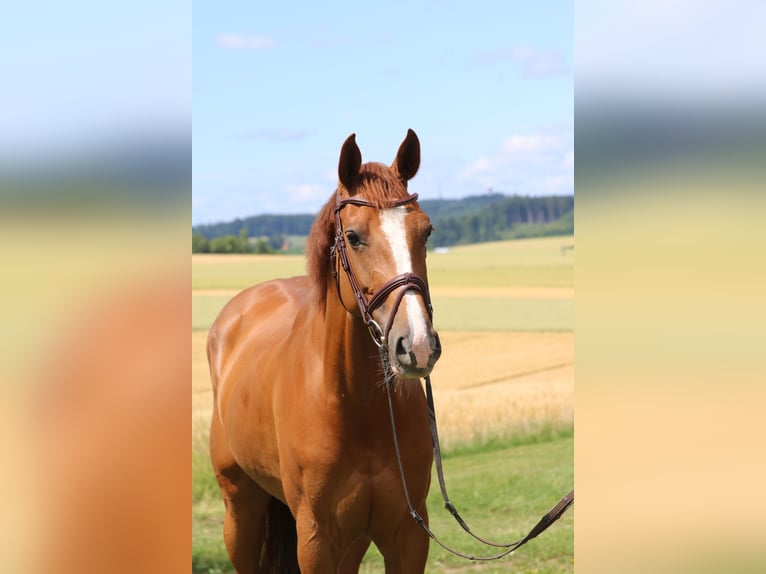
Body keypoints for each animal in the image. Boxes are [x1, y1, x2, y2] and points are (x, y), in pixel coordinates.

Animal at [208, 129, 442, 573]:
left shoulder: (407, 535)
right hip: (240, 511)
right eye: (353, 237)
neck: (357, 408)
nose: (417, 345)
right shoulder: (316, 541)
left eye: (426, 232)